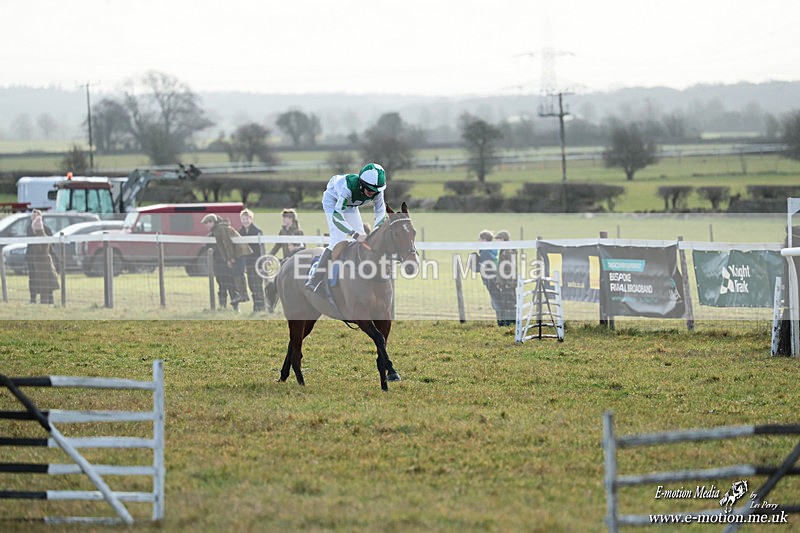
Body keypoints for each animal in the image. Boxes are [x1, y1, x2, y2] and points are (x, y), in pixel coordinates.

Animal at [275, 202, 418, 391]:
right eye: (396, 233)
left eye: (413, 232)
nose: (412, 265)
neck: (371, 273)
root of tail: (287, 262)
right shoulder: (361, 316)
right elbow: (379, 339)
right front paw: (392, 371)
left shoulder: (384, 315)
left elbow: (382, 344)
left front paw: (385, 384)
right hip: (296, 314)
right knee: (296, 349)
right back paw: (301, 383)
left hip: (310, 315)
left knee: (293, 344)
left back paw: (284, 376)